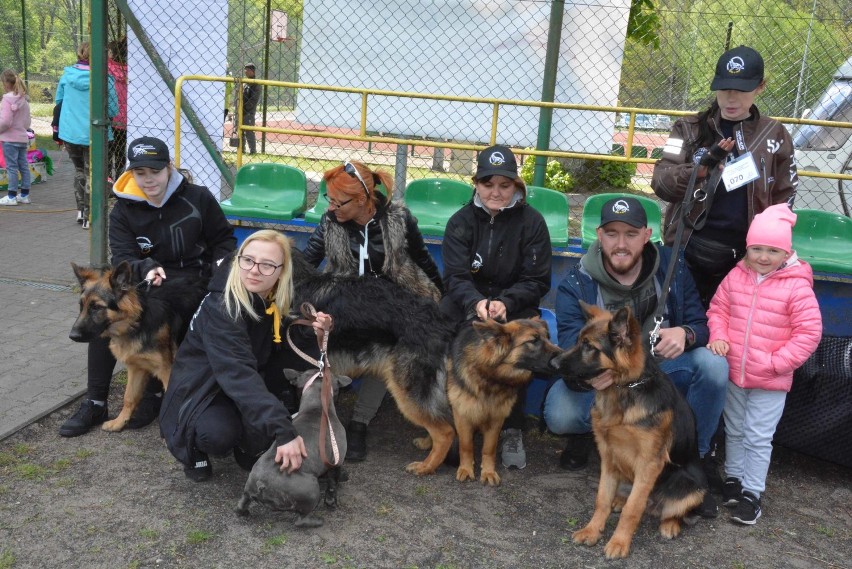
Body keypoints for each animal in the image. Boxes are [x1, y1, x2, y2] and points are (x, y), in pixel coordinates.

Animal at [68, 260, 205, 430]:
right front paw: (120, 422)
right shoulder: (136, 367)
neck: (137, 324)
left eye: (97, 307)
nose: (72, 336)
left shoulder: (167, 370)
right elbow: (129, 397)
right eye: (82, 306)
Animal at [290, 251, 564, 478]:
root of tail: (443, 323)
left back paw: (426, 466)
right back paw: (428, 444)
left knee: (445, 431)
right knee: (447, 420)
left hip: (405, 390)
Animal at [552, 304, 704, 556]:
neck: (626, 388)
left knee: (675, 510)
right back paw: (620, 500)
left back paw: (669, 524)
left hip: (693, 487)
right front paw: (592, 531)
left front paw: (619, 542)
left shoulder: (649, 464)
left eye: (589, 346)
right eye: (577, 340)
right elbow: (602, 499)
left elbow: (632, 509)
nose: (552, 364)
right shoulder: (607, 455)